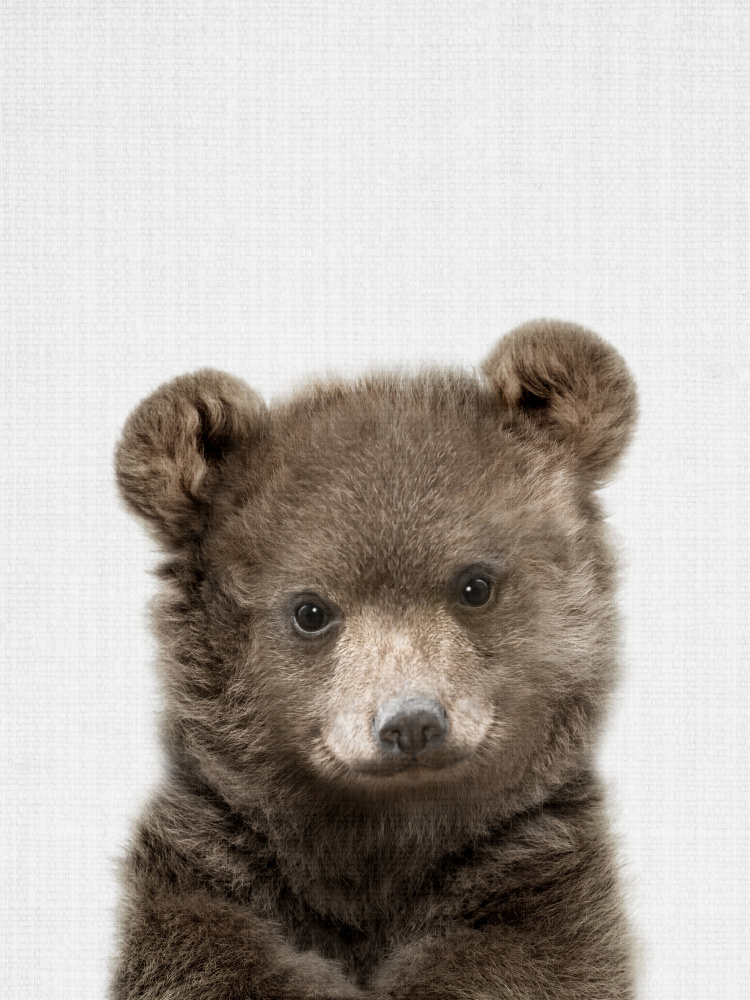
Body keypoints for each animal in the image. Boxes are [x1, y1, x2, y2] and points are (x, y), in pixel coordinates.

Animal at [111, 319, 638, 1000]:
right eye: (310, 610)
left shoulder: (538, 875)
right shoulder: (211, 864)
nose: (411, 722)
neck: (381, 845)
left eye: (475, 584)